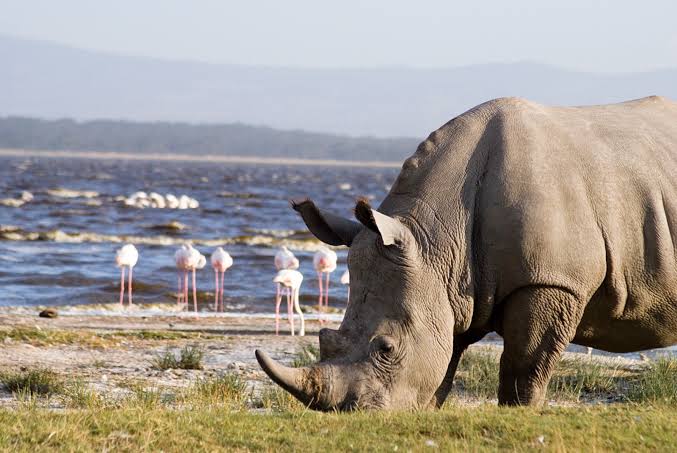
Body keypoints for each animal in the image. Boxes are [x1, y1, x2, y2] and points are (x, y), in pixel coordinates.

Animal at [256, 96, 677, 410]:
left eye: (387, 348)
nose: (351, 414)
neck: (435, 240)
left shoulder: (553, 281)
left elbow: (524, 366)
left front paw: (518, 414)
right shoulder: (447, 286)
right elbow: (444, 362)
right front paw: (424, 413)